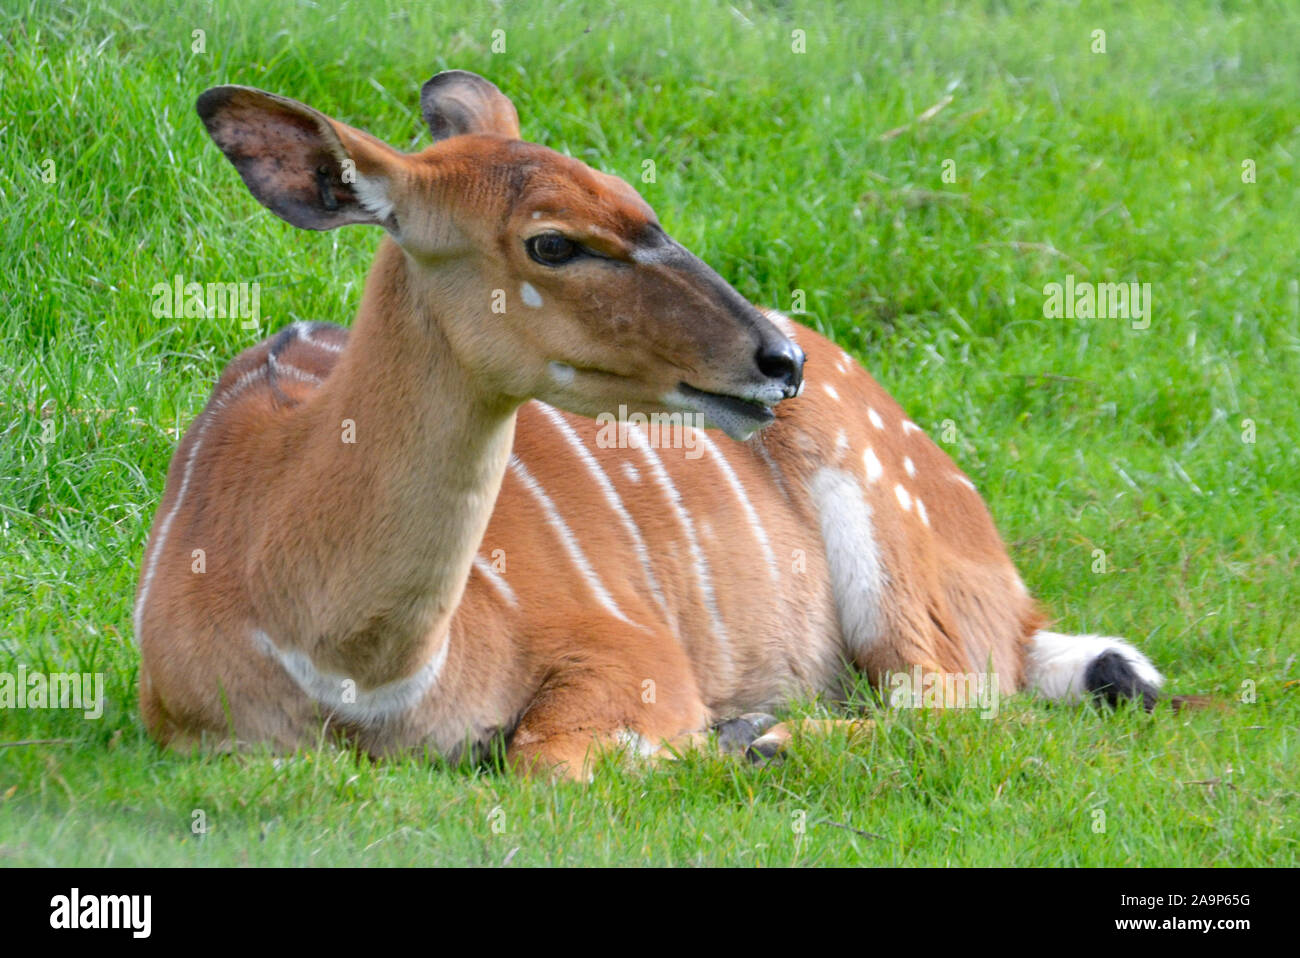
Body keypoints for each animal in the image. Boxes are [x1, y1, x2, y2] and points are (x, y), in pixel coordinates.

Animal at [134, 72, 1170, 779]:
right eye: (552, 241)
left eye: (635, 198)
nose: (775, 361)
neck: (349, 666)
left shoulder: (635, 652)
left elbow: (549, 759)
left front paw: (736, 734)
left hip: (891, 555)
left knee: (955, 699)